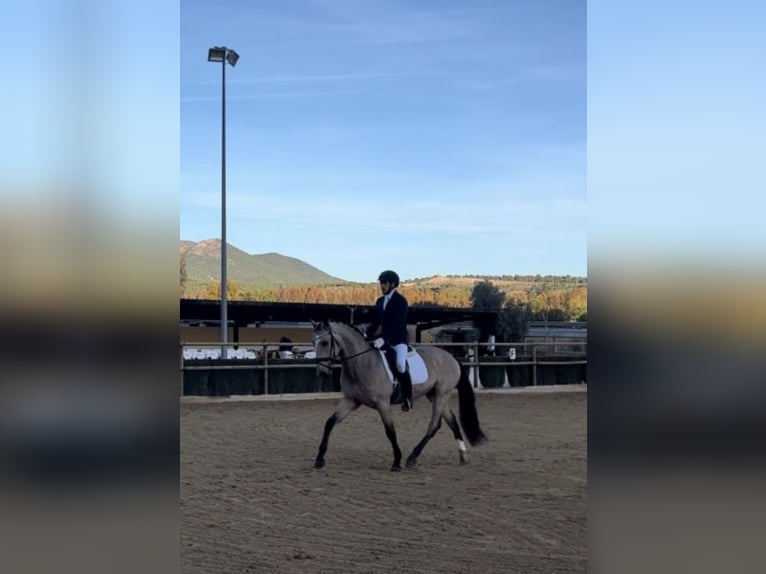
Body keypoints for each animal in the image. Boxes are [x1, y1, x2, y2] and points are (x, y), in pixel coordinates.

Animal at [310, 322, 486, 474]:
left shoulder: (383, 404)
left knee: (434, 425)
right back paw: (463, 455)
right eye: (313, 342)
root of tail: (450, 357)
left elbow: (390, 431)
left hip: (442, 394)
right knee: (452, 421)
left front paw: (396, 462)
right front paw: (319, 460)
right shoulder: (351, 400)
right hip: (434, 395)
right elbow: (330, 423)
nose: (321, 372)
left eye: (324, 342)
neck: (362, 363)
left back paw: (412, 458)